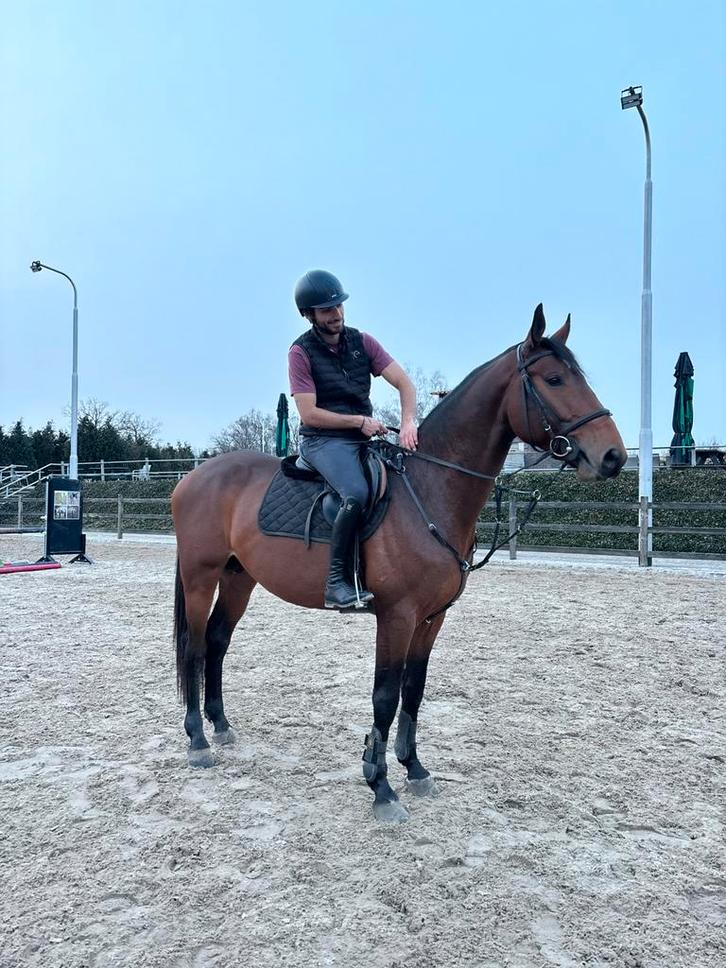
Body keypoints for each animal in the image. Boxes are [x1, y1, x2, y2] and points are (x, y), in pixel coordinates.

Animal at [171, 304, 626, 822]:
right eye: (553, 379)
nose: (613, 456)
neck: (430, 489)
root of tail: (193, 477)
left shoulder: (431, 618)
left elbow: (414, 688)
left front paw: (414, 769)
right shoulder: (397, 616)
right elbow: (385, 696)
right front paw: (381, 785)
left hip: (239, 578)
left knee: (217, 642)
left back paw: (221, 725)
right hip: (201, 576)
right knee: (194, 647)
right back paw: (198, 741)